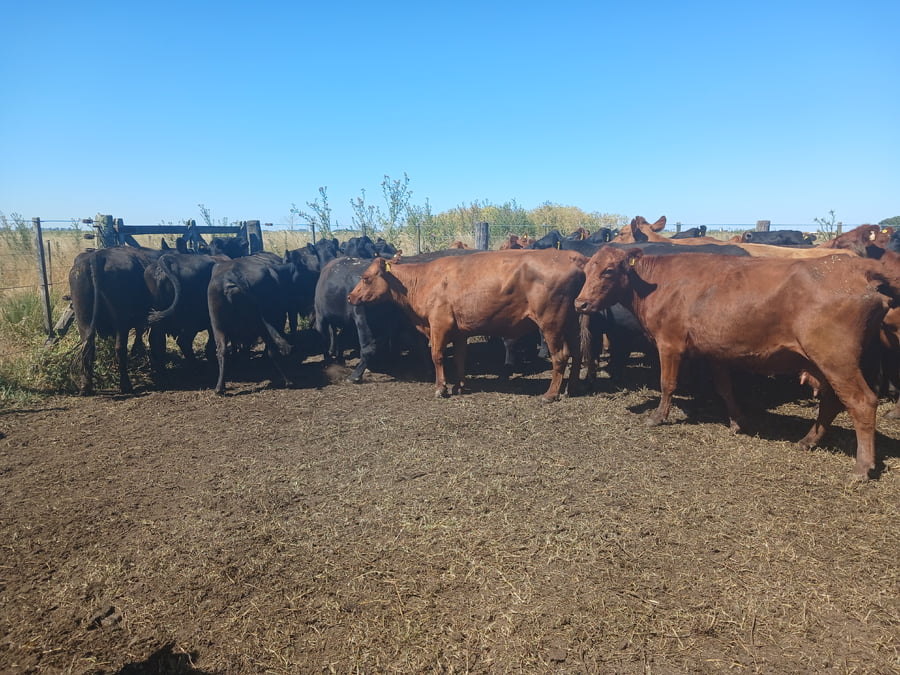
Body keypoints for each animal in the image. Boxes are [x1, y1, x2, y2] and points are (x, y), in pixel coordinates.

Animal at [69, 246, 165, 395]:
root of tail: (96, 256)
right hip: (121, 321)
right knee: (120, 349)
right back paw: (126, 385)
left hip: (83, 320)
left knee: (88, 349)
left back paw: (86, 387)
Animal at [347, 249, 589, 402]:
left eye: (366, 277)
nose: (350, 297)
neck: (424, 280)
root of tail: (571, 256)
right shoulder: (459, 331)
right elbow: (460, 358)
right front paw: (459, 386)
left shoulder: (439, 324)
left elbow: (437, 355)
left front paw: (441, 388)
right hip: (570, 321)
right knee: (577, 353)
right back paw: (571, 388)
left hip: (551, 323)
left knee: (561, 356)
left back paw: (550, 394)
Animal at [574, 246, 900, 479]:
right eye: (587, 270)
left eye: (609, 271)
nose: (580, 303)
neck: (656, 284)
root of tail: (853, 265)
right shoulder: (715, 350)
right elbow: (724, 388)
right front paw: (737, 422)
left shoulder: (669, 342)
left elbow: (668, 383)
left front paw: (657, 417)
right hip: (823, 361)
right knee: (831, 401)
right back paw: (808, 441)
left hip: (836, 359)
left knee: (861, 402)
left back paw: (862, 467)